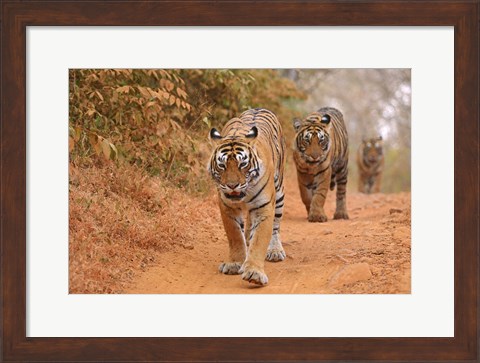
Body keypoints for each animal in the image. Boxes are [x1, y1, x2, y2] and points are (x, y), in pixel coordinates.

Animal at [206, 108, 284, 288]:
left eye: (243, 164)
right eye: (222, 165)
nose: (232, 185)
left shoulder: (264, 207)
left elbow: (259, 240)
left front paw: (254, 272)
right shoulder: (227, 207)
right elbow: (235, 235)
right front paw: (235, 263)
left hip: (279, 193)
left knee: (275, 226)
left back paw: (275, 251)